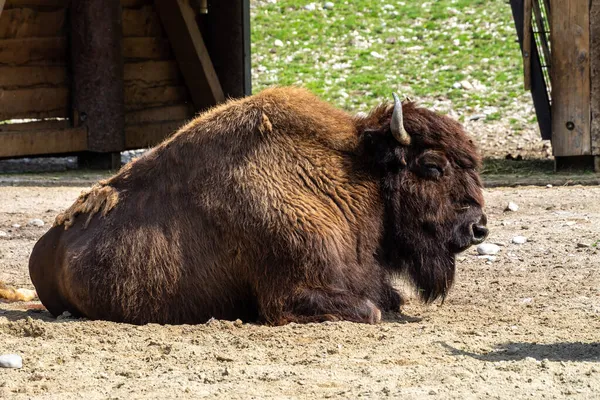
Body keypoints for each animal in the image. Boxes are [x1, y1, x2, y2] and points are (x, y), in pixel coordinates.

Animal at [28, 87, 488, 324]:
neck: (354, 172)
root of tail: (44, 246)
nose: (478, 228)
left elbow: (389, 299)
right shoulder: (291, 293)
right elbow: (371, 310)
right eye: (432, 166)